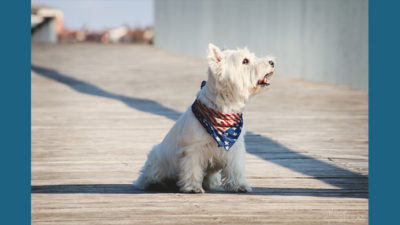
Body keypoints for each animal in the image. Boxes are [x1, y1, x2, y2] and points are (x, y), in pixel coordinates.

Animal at [135, 44, 276, 193]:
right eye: (245, 61)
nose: (272, 62)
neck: (224, 110)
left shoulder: (235, 147)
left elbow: (235, 168)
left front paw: (239, 185)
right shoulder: (193, 149)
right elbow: (192, 168)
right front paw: (192, 188)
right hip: (156, 158)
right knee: (147, 176)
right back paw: (156, 183)